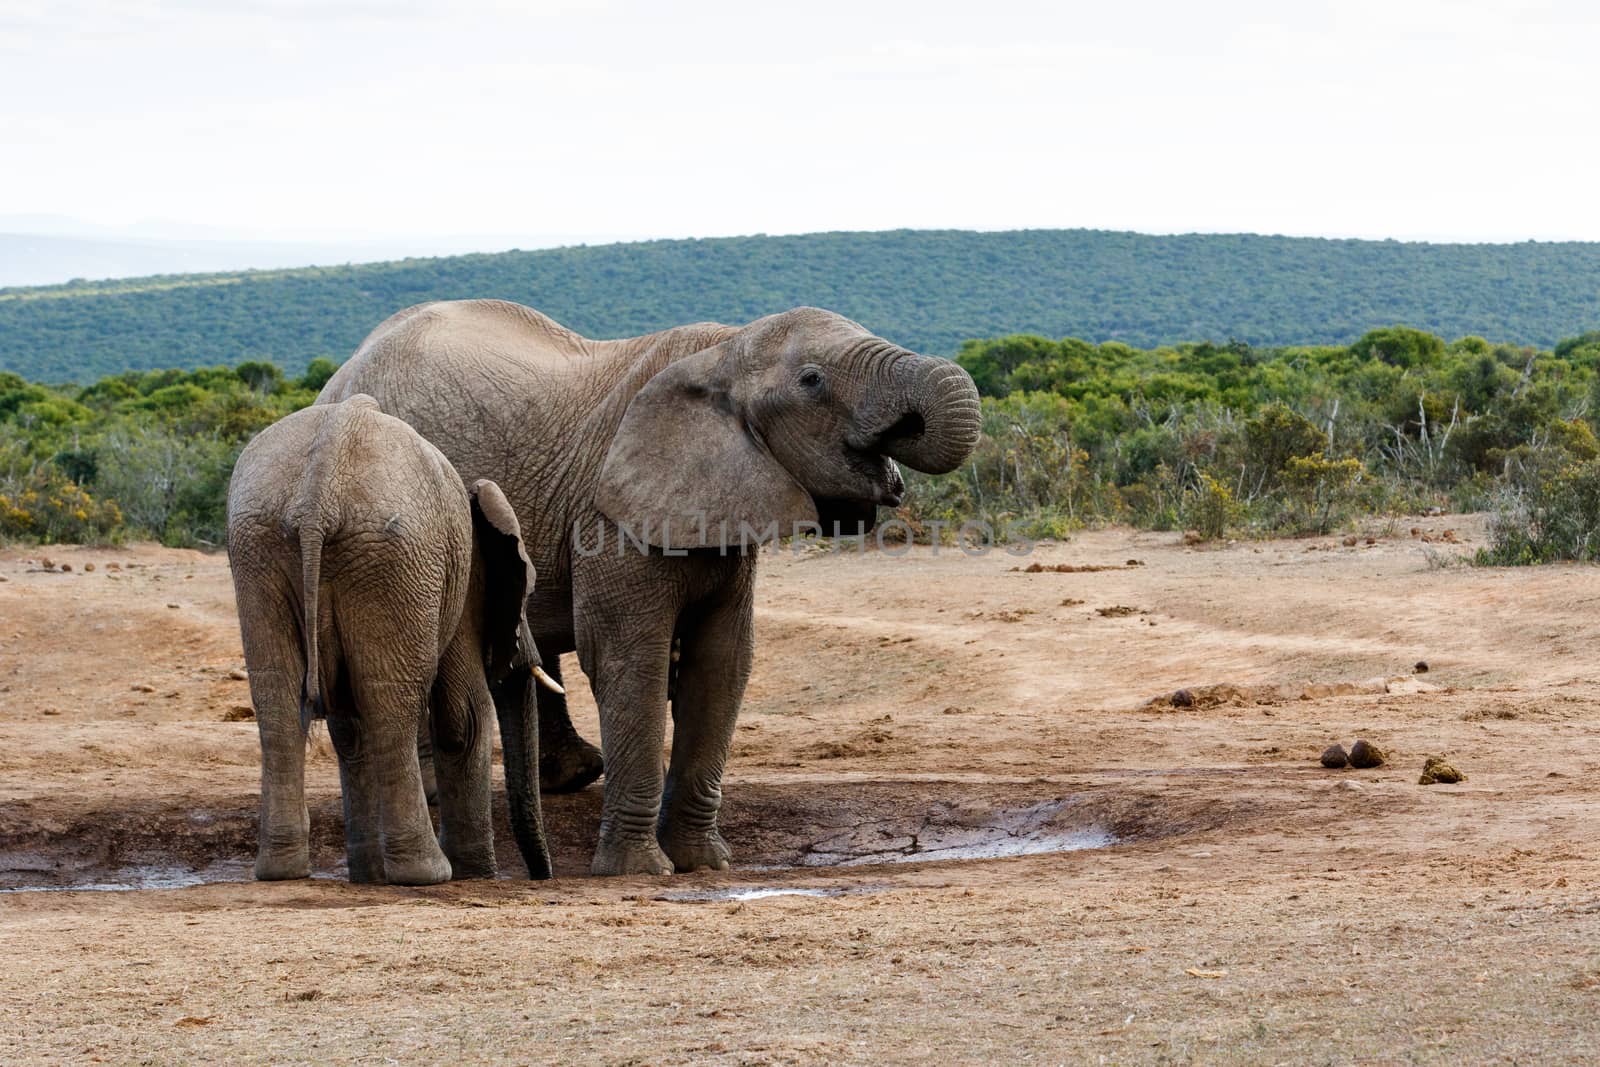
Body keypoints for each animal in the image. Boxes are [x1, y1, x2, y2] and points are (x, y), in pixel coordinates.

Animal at [222, 391, 553, 883]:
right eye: (526, 587)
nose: (541, 875)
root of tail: (317, 498)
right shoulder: (464, 587)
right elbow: (465, 717)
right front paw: (476, 873)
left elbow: (348, 726)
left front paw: (369, 875)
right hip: (395, 557)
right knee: (391, 701)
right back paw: (427, 872)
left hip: (259, 548)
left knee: (279, 694)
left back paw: (282, 870)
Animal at [318, 300, 979, 876]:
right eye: (812, 381)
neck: (724, 348)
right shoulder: (607, 514)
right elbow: (629, 659)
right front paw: (638, 870)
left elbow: (724, 661)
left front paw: (702, 863)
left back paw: (573, 777)